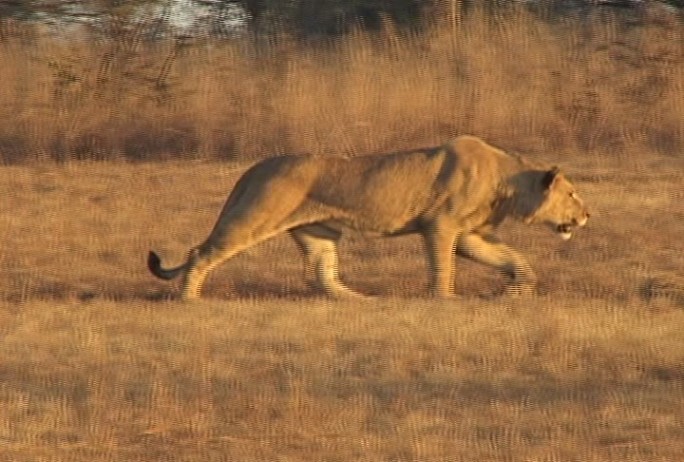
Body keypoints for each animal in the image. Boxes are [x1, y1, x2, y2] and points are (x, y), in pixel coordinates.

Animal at [150, 134, 588, 300]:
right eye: (572, 193)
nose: (587, 216)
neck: (507, 185)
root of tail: (257, 166)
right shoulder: (441, 225)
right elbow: (442, 266)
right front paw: (443, 299)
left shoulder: (469, 235)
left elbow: (515, 260)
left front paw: (516, 291)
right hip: (254, 216)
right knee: (200, 253)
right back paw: (190, 299)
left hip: (318, 233)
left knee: (322, 274)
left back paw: (360, 301)